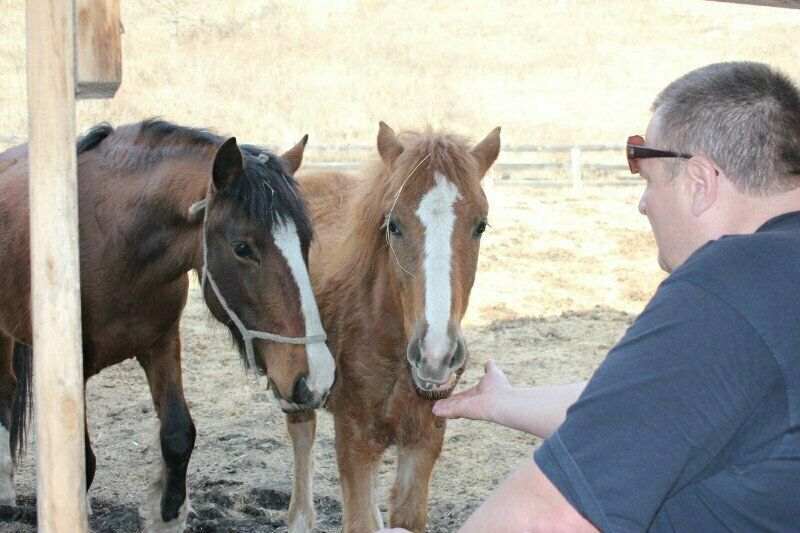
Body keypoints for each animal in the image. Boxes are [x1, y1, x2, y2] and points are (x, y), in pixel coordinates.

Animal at [0, 118, 334, 528]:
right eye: (242, 248)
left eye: (305, 242)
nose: (317, 379)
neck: (113, 241)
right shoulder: (73, 367)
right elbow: (83, 460)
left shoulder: (162, 343)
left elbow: (178, 435)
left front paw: (169, 515)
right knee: (6, 388)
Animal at [288, 121, 500, 532]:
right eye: (393, 225)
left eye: (481, 225)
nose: (436, 356)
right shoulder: (353, 441)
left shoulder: (424, 439)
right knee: (301, 434)